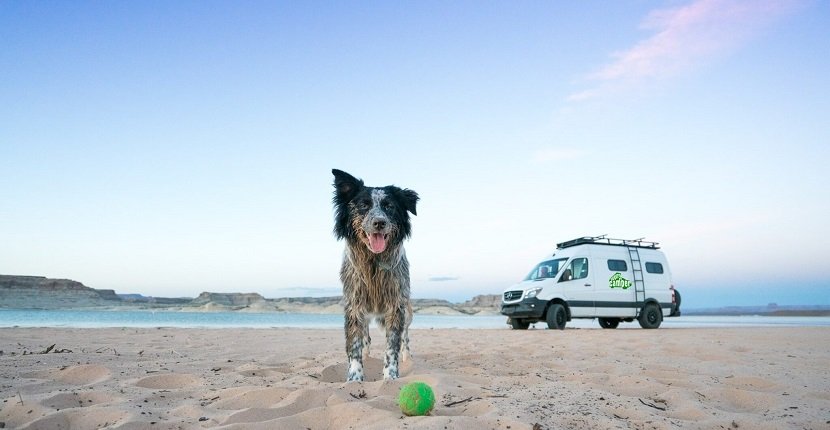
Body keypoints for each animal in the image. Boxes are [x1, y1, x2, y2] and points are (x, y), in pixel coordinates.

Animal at [332, 170, 420, 382]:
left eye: (389, 206)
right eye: (364, 205)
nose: (379, 222)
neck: (373, 262)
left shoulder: (396, 305)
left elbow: (392, 346)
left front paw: (391, 377)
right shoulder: (354, 305)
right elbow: (355, 345)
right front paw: (354, 379)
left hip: (408, 312)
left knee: (405, 337)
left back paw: (407, 357)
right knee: (366, 337)